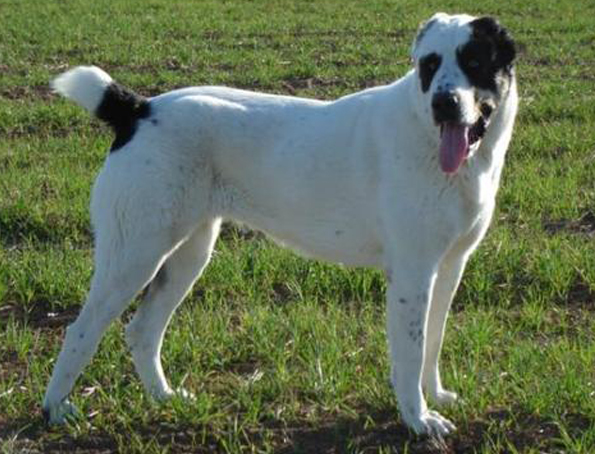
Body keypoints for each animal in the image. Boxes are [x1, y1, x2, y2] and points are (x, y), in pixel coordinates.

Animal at [43, 13, 516, 436]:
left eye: (475, 61)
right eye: (429, 65)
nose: (444, 103)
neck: (427, 132)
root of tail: (139, 109)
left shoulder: (449, 267)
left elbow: (433, 340)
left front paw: (435, 397)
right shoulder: (412, 274)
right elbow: (410, 354)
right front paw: (417, 420)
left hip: (188, 255)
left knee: (142, 331)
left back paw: (165, 398)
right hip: (134, 254)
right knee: (81, 329)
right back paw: (56, 409)